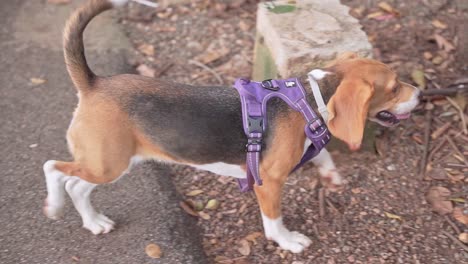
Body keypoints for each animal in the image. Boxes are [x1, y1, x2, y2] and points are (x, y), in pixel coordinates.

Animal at [44, 0, 420, 253]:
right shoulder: (268, 182)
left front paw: (331, 175)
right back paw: (55, 206)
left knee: (77, 186)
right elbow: (274, 219)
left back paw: (94, 222)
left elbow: (322, 155)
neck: (307, 99)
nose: (420, 93)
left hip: (116, 162)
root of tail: (93, 82)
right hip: (107, 164)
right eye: (394, 88)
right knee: (55, 169)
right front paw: (287, 241)